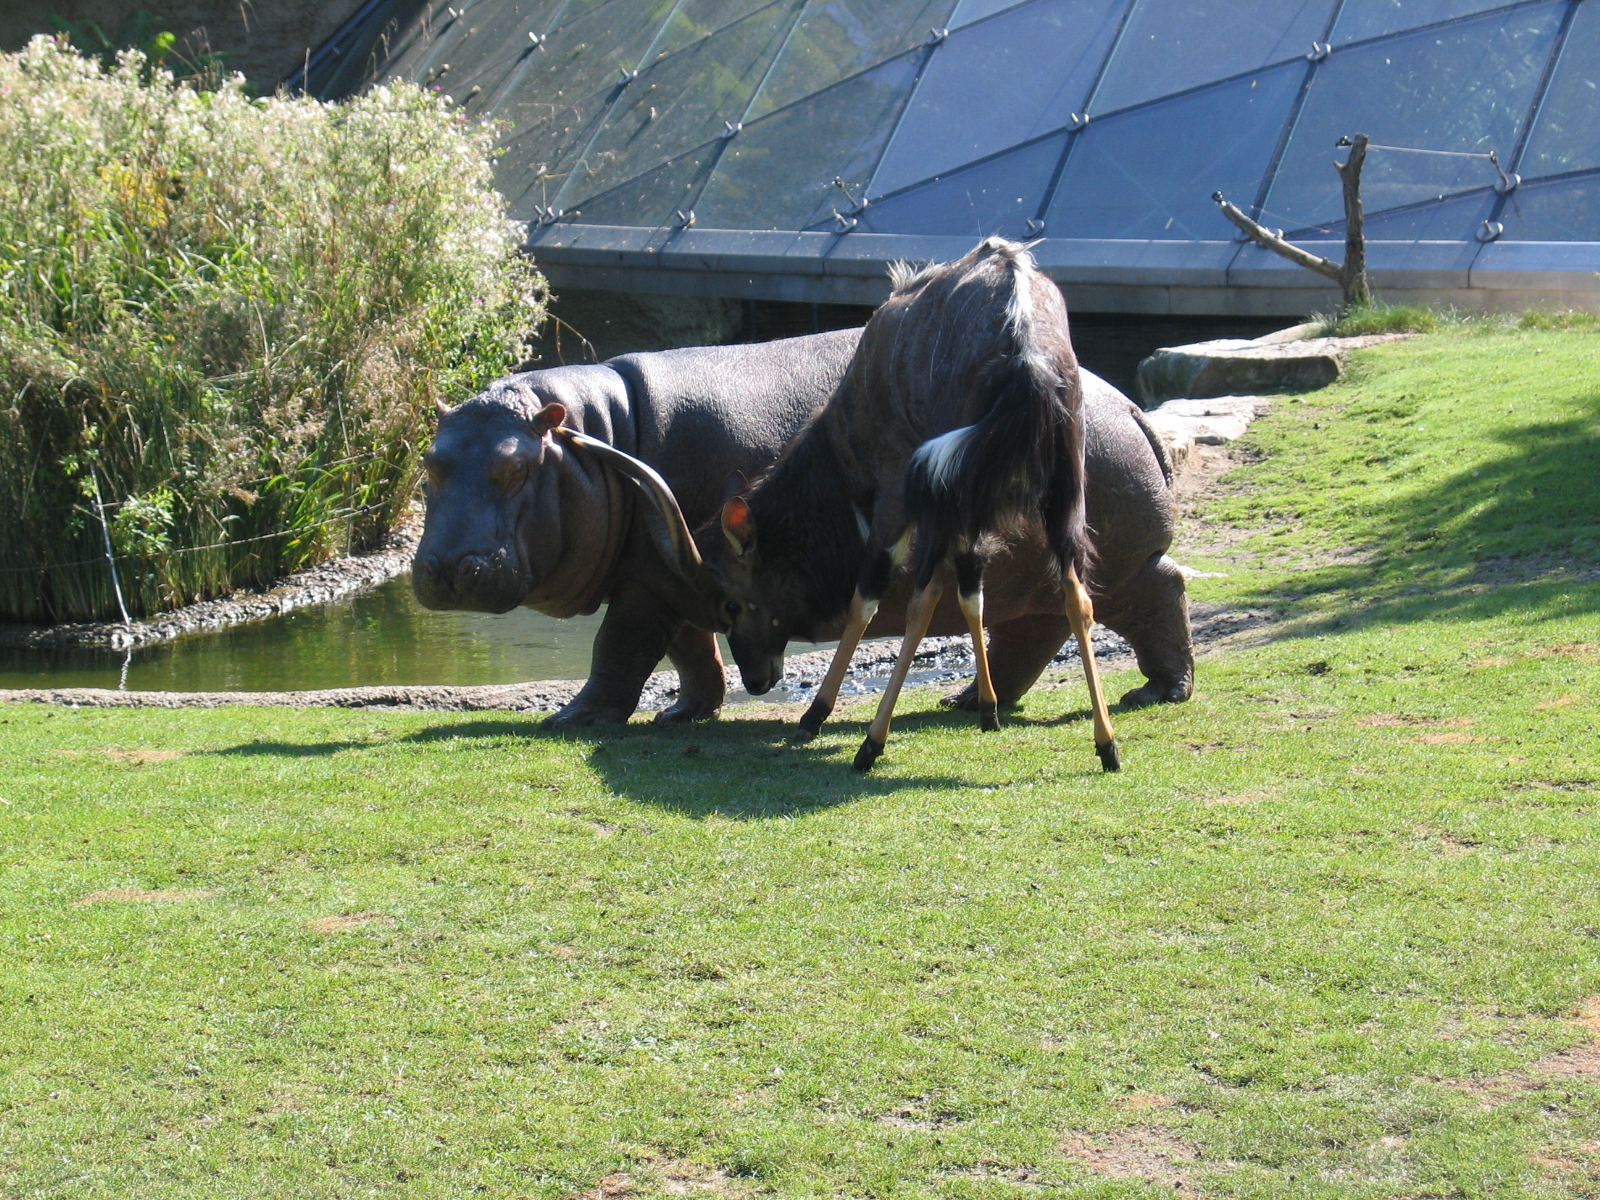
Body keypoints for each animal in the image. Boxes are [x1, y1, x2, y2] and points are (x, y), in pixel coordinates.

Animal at [412, 330, 1192, 726]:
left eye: (515, 468)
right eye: (427, 460)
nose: (445, 570)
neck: (591, 437)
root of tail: (1127, 406)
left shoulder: (646, 586)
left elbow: (620, 650)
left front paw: (569, 720)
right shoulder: (672, 578)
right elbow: (692, 652)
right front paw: (683, 715)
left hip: (1116, 565)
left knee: (1160, 592)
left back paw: (1158, 693)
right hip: (1029, 578)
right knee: (1035, 631)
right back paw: (967, 700)